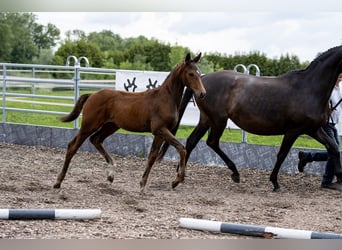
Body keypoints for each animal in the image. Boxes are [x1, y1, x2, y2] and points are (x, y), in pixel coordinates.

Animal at [53, 52, 206, 191]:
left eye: (200, 73)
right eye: (191, 74)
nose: (202, 94)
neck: (165, 98)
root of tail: (92, 95)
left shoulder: (160, 133)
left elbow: (152, 156)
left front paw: (143, 184)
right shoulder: (160, 129)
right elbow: (181, 149)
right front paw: (176, 180)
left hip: (111, 126)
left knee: (95, 139)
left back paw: (111, 174)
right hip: (89, 125)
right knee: (73, 146)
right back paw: (58, 181)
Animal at [159, 45, 342, 191]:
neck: (308, 89)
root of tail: (203, 79)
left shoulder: (314, 129)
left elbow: (333, 148)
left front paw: (339, 179)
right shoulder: (293, 131)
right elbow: (282, 154)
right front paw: (275, 182)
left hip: (206, 119)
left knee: (192, 141)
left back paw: (180, 175)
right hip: (218, 120)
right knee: (212, 142)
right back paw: (234, 173)